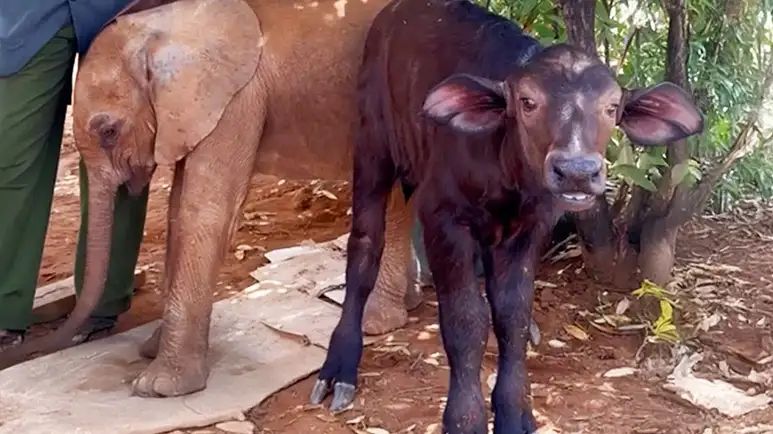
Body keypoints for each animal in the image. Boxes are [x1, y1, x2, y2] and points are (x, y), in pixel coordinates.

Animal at [0, 0, 421, 397]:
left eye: (108, 131)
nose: (19, 349)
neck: (163, 29)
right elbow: (177, 210)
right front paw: (151, 351)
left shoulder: (237, 100)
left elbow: (203, 211)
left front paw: (159, 387)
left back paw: (378, 322)